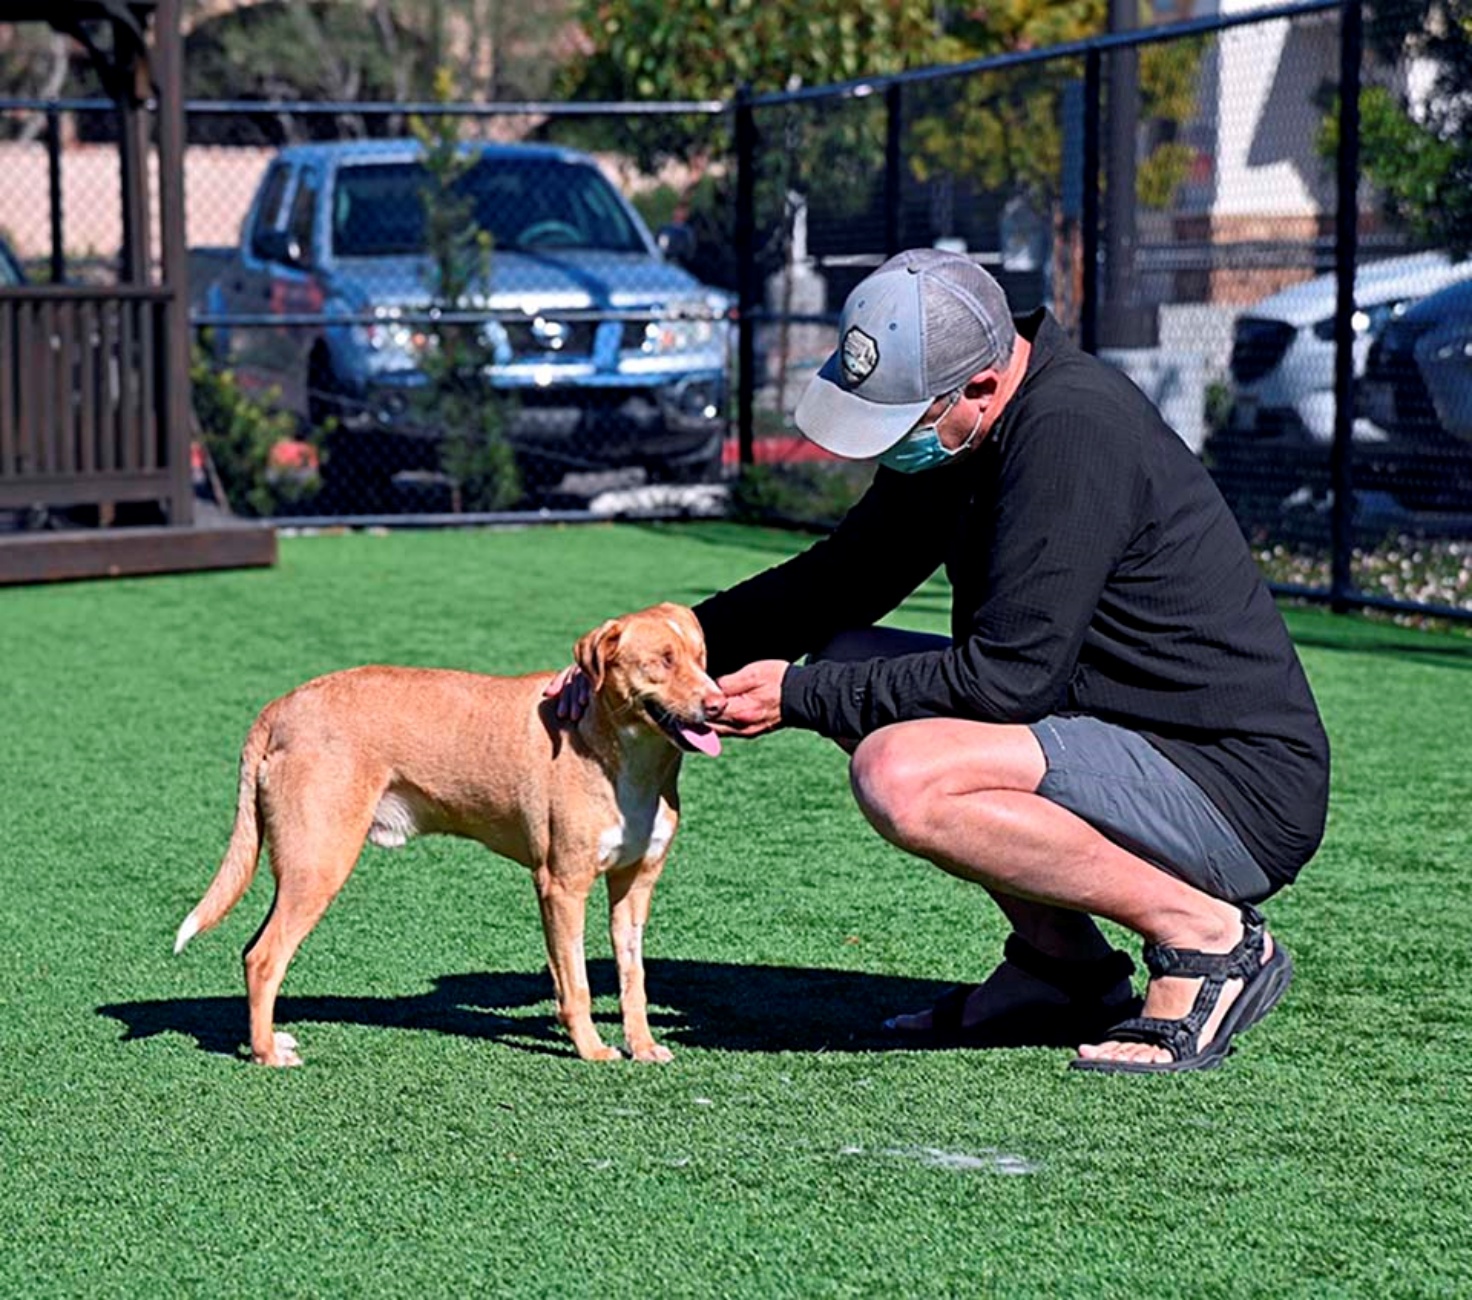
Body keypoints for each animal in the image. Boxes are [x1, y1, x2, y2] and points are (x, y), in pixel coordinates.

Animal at [172, 603, 724, 1065]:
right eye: (661, 661)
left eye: (701, 658)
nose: (718, 704)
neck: (623, 756)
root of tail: (279, 706)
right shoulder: (562, 886)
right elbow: (577, 984)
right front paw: (591, 1050)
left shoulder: (634, 886)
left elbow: (634, 980)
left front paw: (643, 1047)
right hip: (319, 864)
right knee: (264, 957)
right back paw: (267, 1053)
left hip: (302, 865)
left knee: (253, 949)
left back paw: (267, 1039)